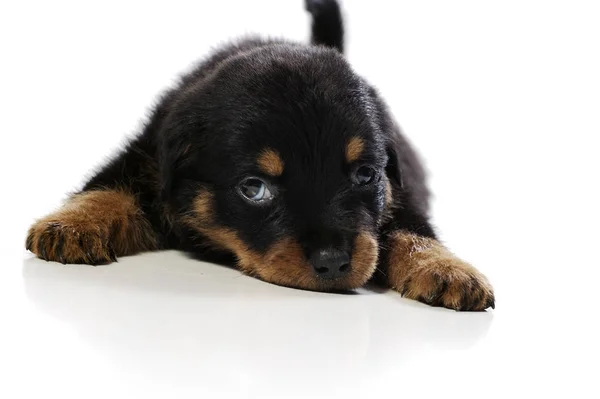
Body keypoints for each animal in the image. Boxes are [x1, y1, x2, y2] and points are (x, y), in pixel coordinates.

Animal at [25, 0, 494, 310]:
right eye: (254, 188)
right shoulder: (144, 159)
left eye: (364, 175)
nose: (334, 263)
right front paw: (70, 225)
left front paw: (449, 270)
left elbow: (413, 230)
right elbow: (107, 187)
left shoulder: (398, 191)